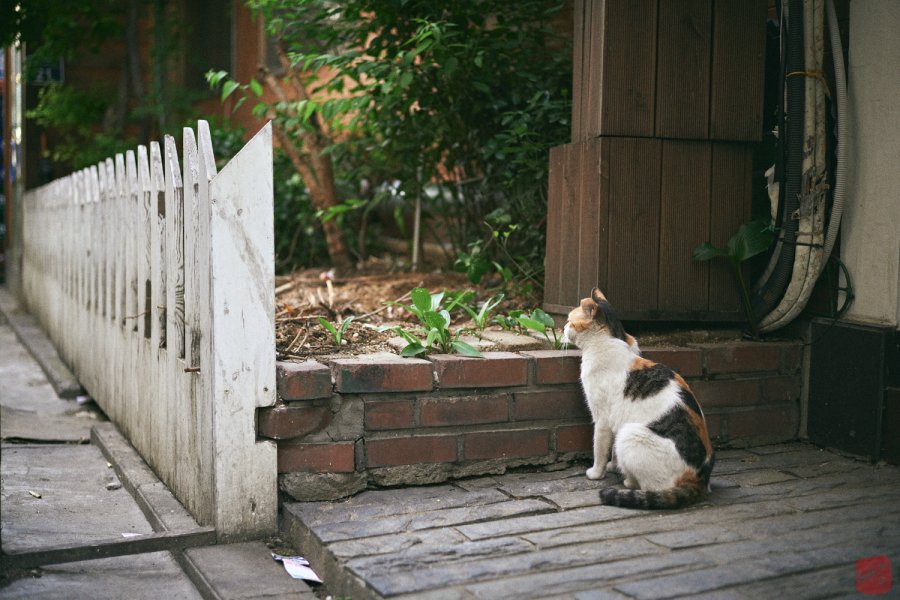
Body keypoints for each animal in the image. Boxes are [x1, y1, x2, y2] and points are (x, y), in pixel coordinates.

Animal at [564, 288, 716, 508]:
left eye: (569, 321)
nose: (562, 328)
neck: (611, 339)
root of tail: (699, 480)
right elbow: (611, 451)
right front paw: (614, 464)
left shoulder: (602, 420)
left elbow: (599, 448)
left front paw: (596, 472)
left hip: (630, 434)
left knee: (651, 487)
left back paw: (629, 481)